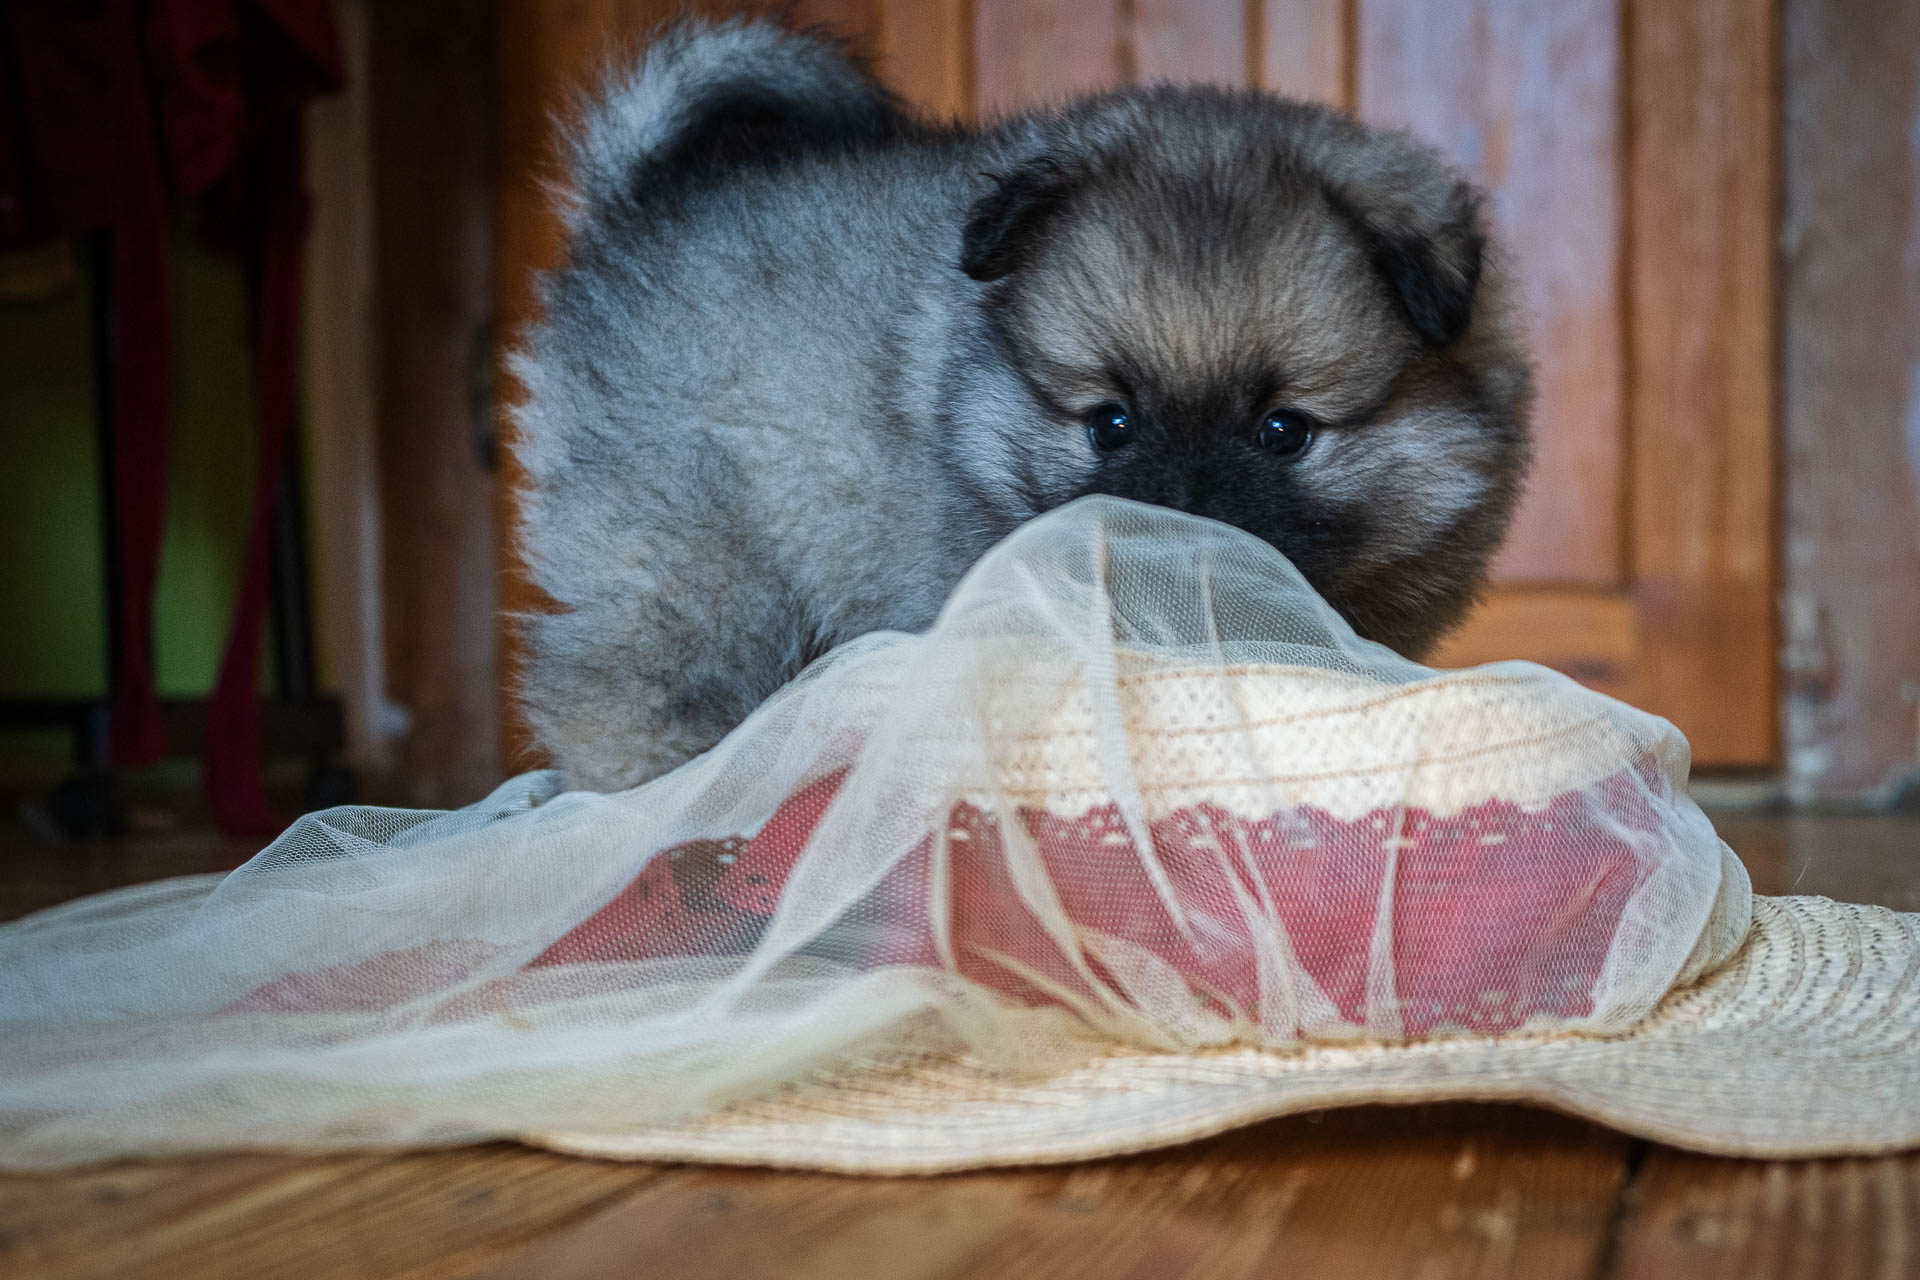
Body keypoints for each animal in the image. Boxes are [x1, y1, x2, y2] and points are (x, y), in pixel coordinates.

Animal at [510, 17, 1528, 790]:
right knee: (628, 692)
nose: (1176, 527)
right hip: (692, 572)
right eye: (1109, 423)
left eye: (1284, 431)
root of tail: (637, 211)